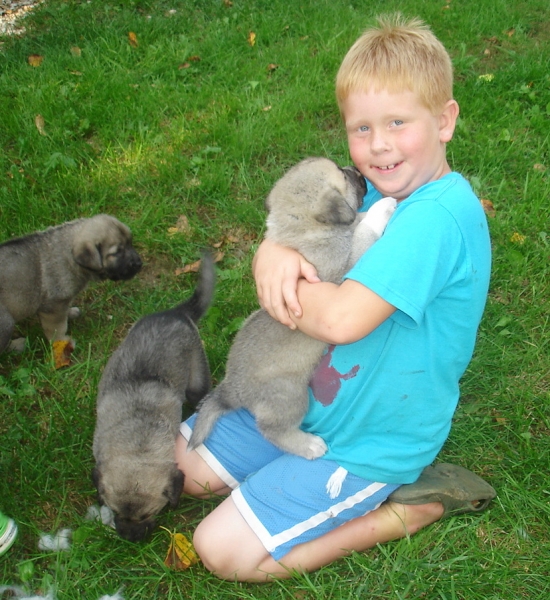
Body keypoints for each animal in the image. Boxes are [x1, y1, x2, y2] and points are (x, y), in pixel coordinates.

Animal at [0, 214, 142, 354]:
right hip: (7, 323)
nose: (139, 263)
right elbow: (58, 328)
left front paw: (70, 312)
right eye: (116, 253)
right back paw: (17, 345)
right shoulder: (54, 307)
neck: (69, 256)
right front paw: (63, 342)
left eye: (130, 243)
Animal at [92, 253, 216, 544]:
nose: (130, 538)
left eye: (148, 515)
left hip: (196, 378)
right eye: (116, 512)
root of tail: (176, 313)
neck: (137, 440)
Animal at [190, 156, 396, 460]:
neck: (308, 231)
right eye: (343, 175)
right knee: (272, 430)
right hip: (291, 396)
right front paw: (382, 208)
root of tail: (232, 390)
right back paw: (308, 445)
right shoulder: (342, 273)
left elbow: (357, 221)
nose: (357, 170)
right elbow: (363, 232)